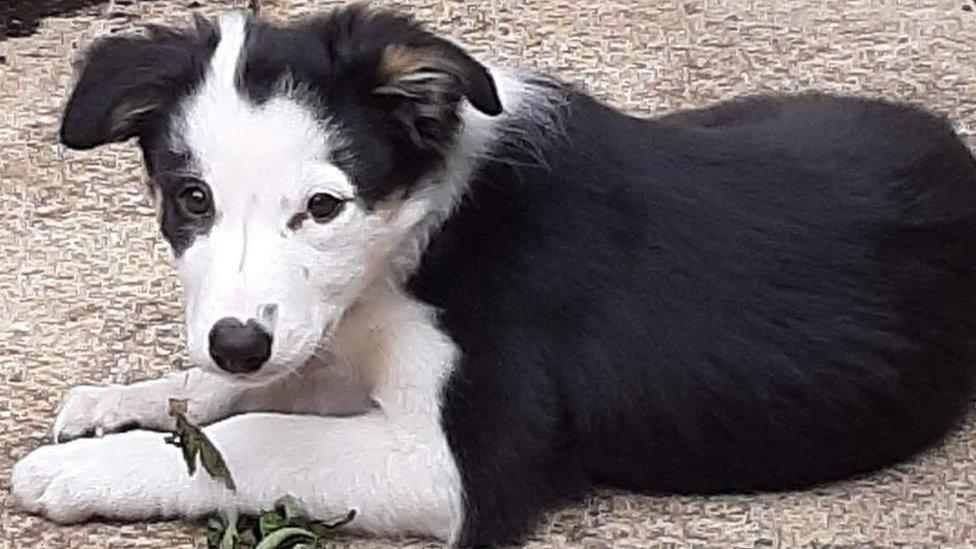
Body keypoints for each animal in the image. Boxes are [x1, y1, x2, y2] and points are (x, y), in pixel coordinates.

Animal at [11, 5, 976, 548]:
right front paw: (122, 401)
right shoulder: (331, 336)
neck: (424, 227)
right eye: (192, 198)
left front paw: (82, 471)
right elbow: (249, 390)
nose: (238, 342)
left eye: (323, 206)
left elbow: (260, 437)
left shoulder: (455, 467)